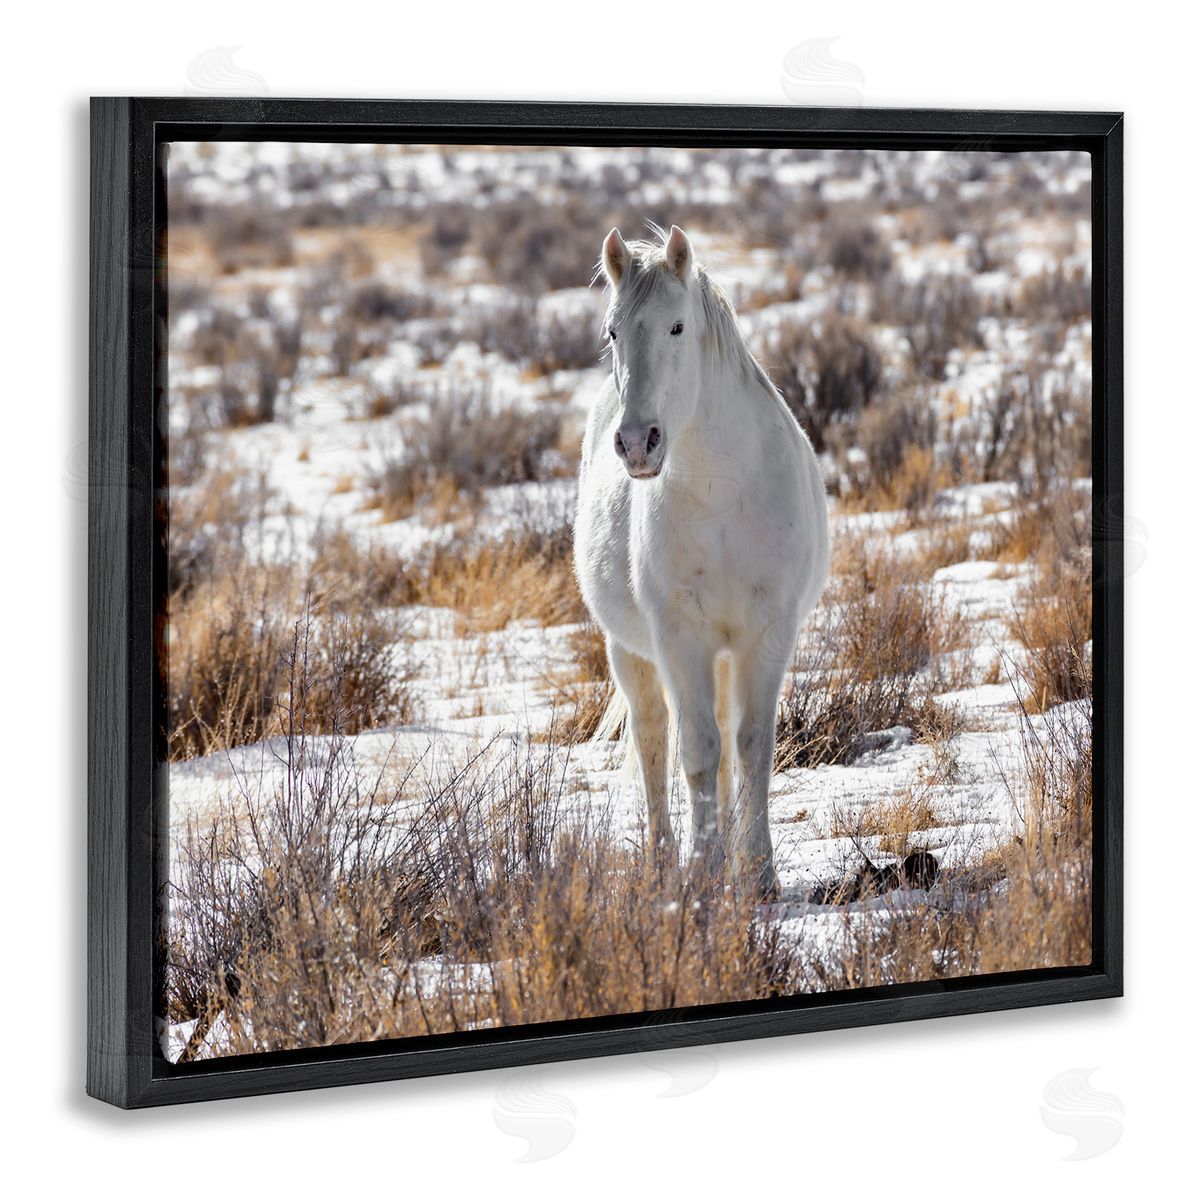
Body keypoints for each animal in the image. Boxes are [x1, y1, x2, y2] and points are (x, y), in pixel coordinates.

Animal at [573, 225, 829, 898]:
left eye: (677, 326)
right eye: (613, 330)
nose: (637, 443)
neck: (721, 495)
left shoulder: (767, 632)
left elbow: (751, 745)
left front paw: (758, 872)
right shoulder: (678, 636)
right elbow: (695, 751)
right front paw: (705, 872)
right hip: (631, 652)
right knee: (653, 739)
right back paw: (667, 859)